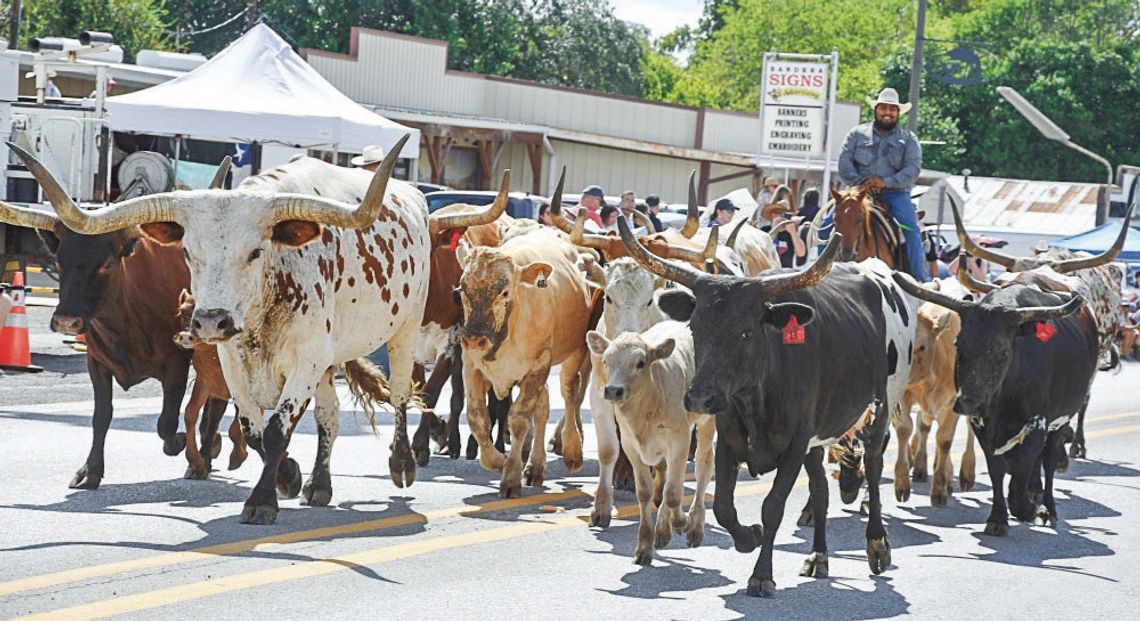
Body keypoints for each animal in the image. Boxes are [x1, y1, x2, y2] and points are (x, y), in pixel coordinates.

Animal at [456, 225, 597, 496]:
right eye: (462, 291)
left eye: (504, 292)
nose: (475, 340)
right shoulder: (471, 366)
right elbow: (477, 417)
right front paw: (497, 461)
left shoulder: (539, 364)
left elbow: (519, 419)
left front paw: (510, 476)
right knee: (543, 408)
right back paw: (536, 466)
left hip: (573, 353)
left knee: (570, 393)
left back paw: (572, 450)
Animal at [588, 321, 711, 565]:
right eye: (606, 361)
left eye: (640, 363)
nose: (612, 390)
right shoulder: (630, 446)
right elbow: (645, 491)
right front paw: (645, 546)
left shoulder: (679, 440)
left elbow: (673, 494)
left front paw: (681, 522)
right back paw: (662, 530)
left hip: (707, 421)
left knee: (703, 465)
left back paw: (694, 525)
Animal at [615, 218, 916, 597]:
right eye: (695, 327)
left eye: (745, 332)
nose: (699, 398)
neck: (757, 396)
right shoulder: (731, 439)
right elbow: (724, 507)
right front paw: (749, 537)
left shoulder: (795, 444)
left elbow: (773, 506)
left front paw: (761, 575)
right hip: (818, 438)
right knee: (820, 489)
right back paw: (819, 557)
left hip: (880, 410)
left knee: (874, 468)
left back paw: (877, 545)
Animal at [889, 271, 1094, 533]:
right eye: (959, 344)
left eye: (1002, 350)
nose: (969, 403)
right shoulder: (982, 424)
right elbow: (997, 468)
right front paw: (998, 518)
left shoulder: (1037, 422)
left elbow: (1021, 466)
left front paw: (1024, 507)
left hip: (1060, 420)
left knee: (1047, 463)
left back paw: (1046, 508)